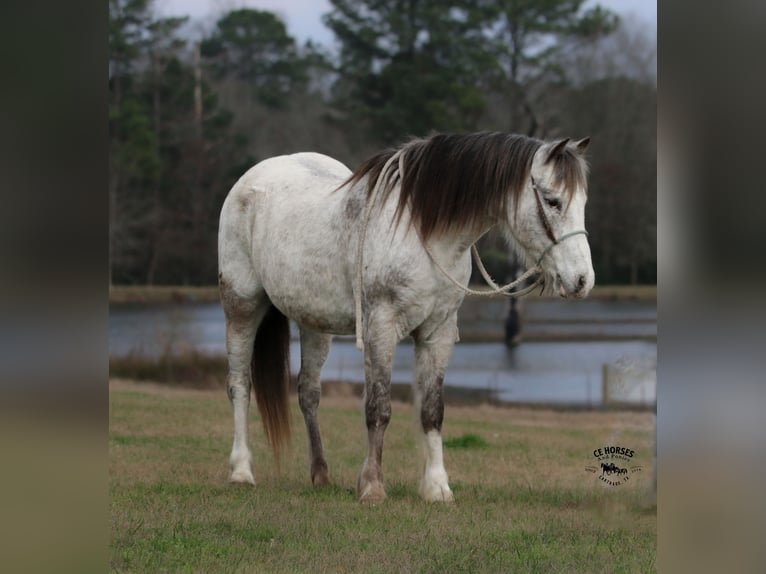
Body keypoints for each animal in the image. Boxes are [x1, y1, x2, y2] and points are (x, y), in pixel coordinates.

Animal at [219, 130, 596, 504]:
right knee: (240, 386)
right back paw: (240, 471)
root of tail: (250, 179)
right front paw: (372, 487)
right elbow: (379, 408)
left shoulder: (437, 333)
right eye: (552, 201)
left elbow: (432, 410)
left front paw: (437, 487)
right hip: (242, 307)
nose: (582, 280)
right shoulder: (381, 329)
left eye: (582, 203)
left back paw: (321, 476)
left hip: (314, 324)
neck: (423, 232)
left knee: (308, 393)